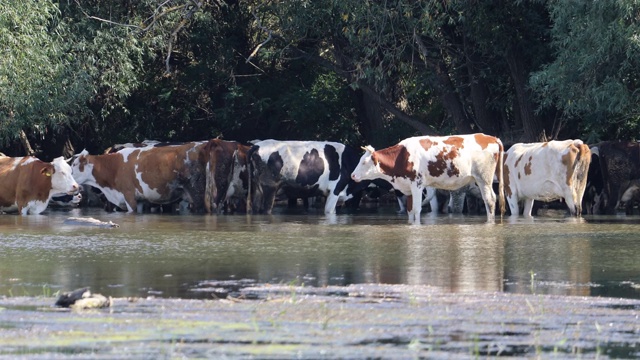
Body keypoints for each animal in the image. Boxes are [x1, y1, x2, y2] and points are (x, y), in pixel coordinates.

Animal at [350, 133, 504, 222]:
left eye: (364, 162)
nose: (352, 175)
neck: (401, 157)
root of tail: (491, 137)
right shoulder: (408, 188)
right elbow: (410, 210)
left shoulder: (417, 184)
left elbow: (417, 209)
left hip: (484, 178)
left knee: (490, 200)